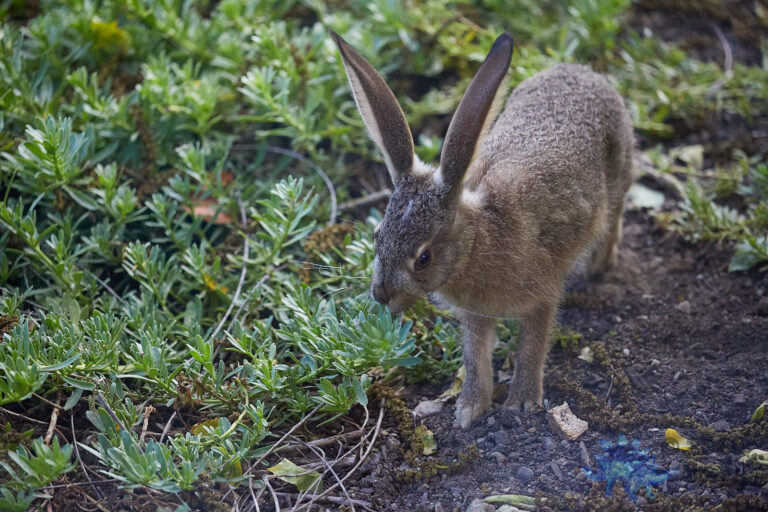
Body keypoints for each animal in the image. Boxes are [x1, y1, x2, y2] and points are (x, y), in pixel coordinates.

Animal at [330, 31, 634, 429]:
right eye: (377, 234)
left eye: (424, 258)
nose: (381, 295)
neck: (479, 242)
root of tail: (585, 73)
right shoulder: (476, 314)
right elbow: (475, 357)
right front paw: (469, 409)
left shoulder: (543, 294)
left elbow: (531, 349)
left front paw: (522, 403)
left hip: (619, 173)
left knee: (615, 214)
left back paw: (598, 265)